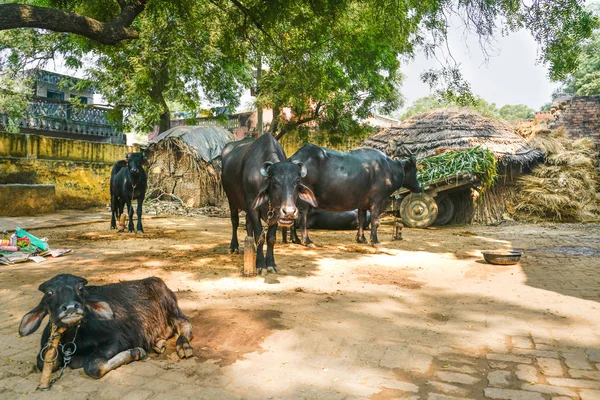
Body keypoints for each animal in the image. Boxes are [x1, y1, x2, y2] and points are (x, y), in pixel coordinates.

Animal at [18, 274, 193, 380]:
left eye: (80, 289)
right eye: (49, 293)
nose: (71, 308)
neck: (73, 340)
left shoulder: (118, 339)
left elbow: (93, 366)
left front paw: (136, 352)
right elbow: (43, 363)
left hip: (171, 306)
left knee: (184, 324)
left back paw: (184, 346)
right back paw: (158, 344)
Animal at [221, 133, 318, 274]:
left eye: (297, 181)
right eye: (275, 182)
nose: (289, 212)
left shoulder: (276, 212)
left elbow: (271, 238)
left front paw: (271, 264)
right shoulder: (252, 206)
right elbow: (260, 236)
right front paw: (260, 265)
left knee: (248, 224)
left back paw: (252, 247)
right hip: (231, 200)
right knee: (235, 221)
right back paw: (233, 247)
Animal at [288, 144, 420, 244]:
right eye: (415, 170)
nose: (419, 187)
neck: (389, 170)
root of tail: (293, 159)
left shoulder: (362, 204)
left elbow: (361, 219)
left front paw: (361, 239)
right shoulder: (377, 201)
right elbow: (375, 221)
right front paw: (375, 241)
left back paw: (295, 239)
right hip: (304, 200)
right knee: (302, 218)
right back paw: (307, 241)